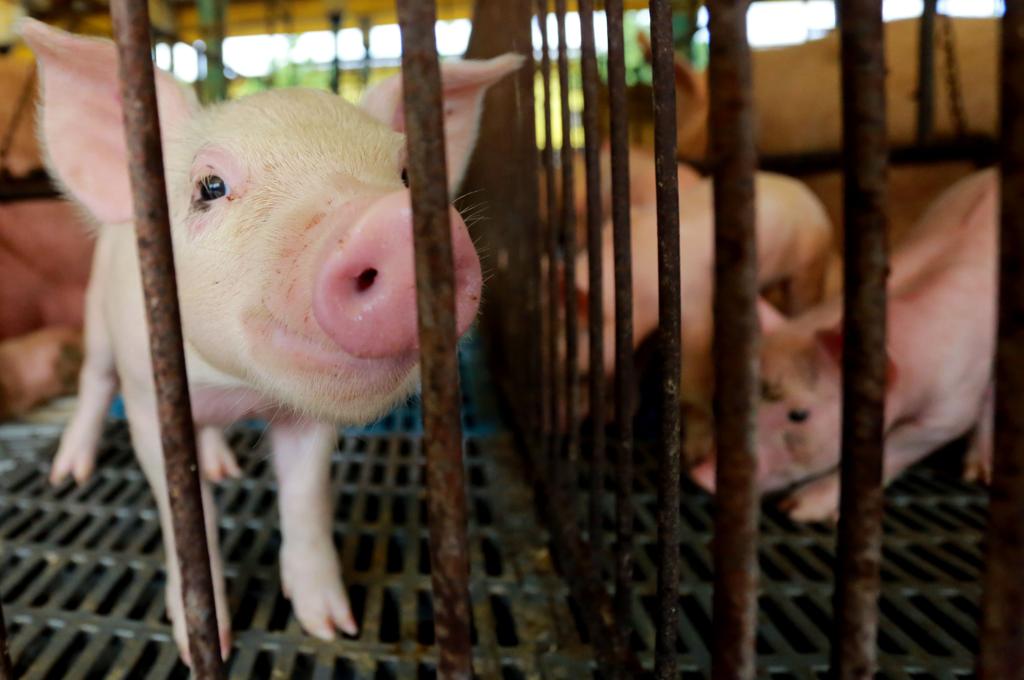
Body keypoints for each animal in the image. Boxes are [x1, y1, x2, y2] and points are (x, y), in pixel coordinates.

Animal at [20, 19, 520, 662]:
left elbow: (304, 499)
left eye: (408, 176)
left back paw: (221, 469)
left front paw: (333, 627)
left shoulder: (308, 419)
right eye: (210, 186)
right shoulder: (151, 397)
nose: (390, 221)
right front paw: (206, 646)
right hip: (99, 325)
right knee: (91, 382)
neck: (239, 390)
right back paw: (69, 473)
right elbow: (185, 513)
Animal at [573, 171, 834, 462]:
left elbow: (692, 379)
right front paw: (615, 416)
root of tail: (804, 190)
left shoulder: (694, 313)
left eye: (579, 374)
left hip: (809, 265)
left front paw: (693, 456)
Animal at [692, 169, 997, 522]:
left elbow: (895, 450)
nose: (701, 476)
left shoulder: (950, 409)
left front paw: (798, 510)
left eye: (799, 414)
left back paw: (979, 475)